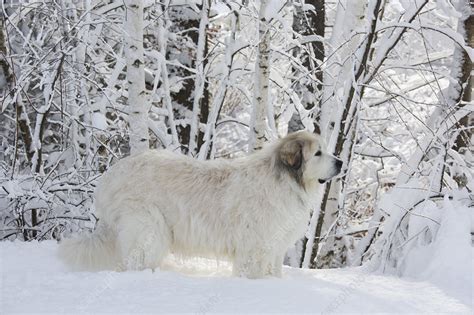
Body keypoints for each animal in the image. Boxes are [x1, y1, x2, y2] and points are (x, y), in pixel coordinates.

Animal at [58, 131, 340, 278]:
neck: (285, 181)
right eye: (318, 153)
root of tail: (111, 175)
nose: (340, 162)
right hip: (149, 230)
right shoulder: (255, 249)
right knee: (132, 263)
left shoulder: (275, 249)